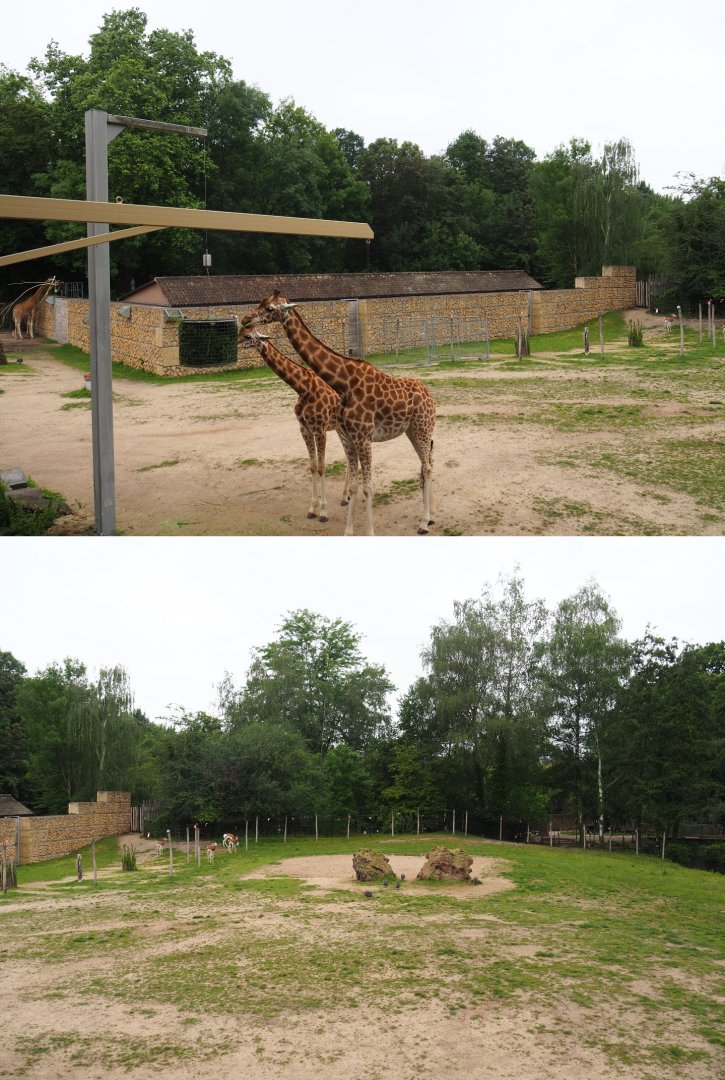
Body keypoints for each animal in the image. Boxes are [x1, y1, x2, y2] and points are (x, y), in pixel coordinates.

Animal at [238, 326, 353, 522]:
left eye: (247, 335)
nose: (235, 344)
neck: (303, 389)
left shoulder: (320, 430)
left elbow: (321, 467)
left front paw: (323, 512)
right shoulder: (304, 429)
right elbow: (312, 466)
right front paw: (312, 509)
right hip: (340, 428)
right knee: (349, 456)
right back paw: (346, 497)